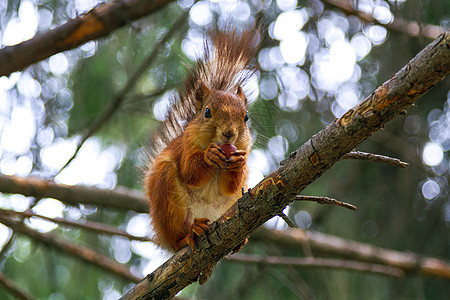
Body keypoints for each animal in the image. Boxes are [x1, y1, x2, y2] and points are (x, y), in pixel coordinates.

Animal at [145, 28, 260, 252]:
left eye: (246, 117)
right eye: (207, 112)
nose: (229, 133)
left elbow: (231, 185)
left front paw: (239, 162)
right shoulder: (186, 147)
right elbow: (190, 172)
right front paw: (209, 155)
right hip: (168, 197)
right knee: (177, 237)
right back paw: (189, 234)